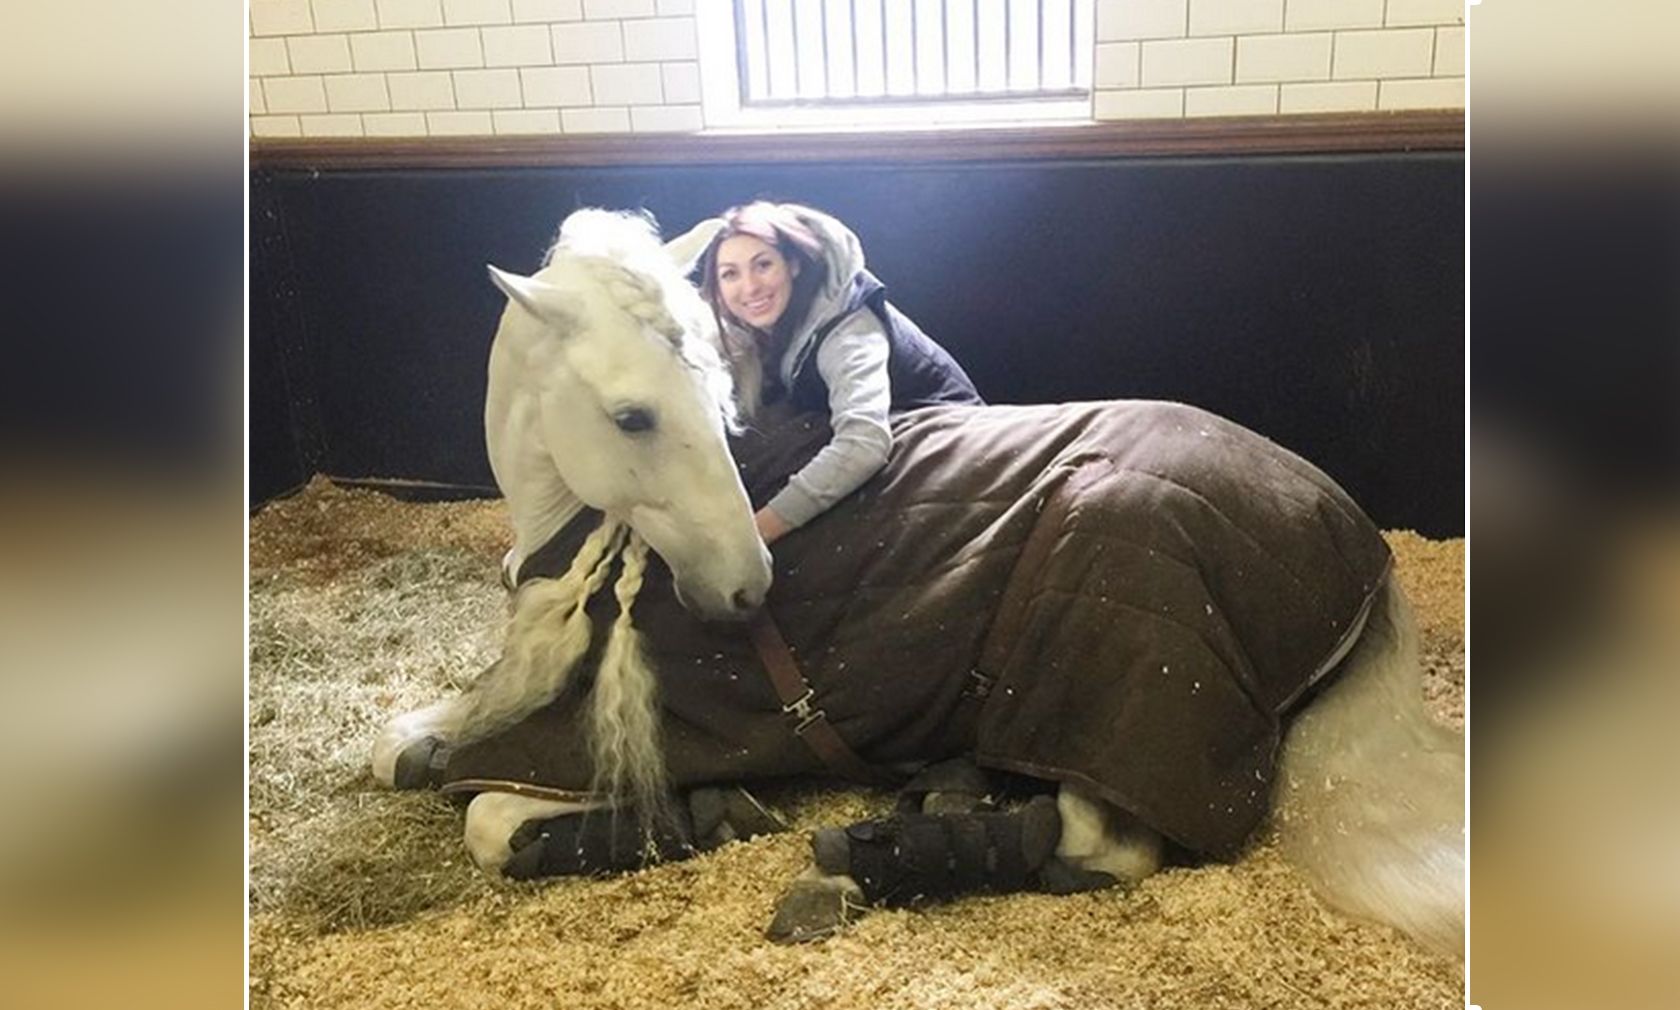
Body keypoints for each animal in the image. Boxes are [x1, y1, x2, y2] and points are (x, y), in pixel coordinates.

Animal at [370, 209, 1464, 956]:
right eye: (634, 416)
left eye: (716, 398)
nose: (745, 588)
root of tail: (1353, 539)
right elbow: (402, 747)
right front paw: (418, 744)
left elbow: (492, 821)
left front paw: (704, 813)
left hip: (1115, 678)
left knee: (1091, 834)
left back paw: (872, 856)